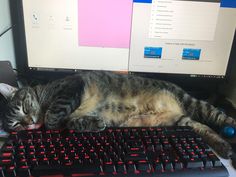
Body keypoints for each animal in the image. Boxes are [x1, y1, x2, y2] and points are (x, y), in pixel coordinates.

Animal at [1, 70, 236, 159]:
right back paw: (224, 146)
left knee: (220, 118)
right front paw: (94, 123)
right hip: (179, 120)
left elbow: (53, 119)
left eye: (24, 108)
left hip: (191, 102)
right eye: (15, 125)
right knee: (202, 127)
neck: (43, 94)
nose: (29, 122)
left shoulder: (71, 87)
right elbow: (71, 122)